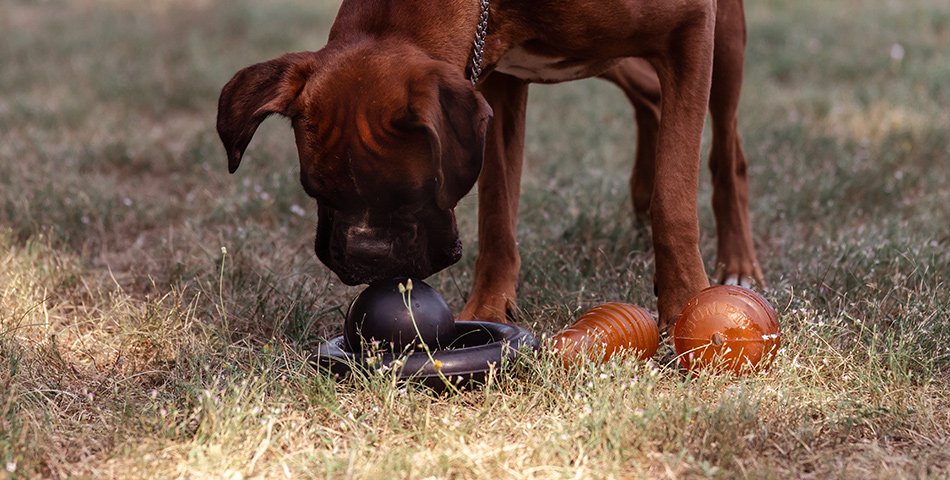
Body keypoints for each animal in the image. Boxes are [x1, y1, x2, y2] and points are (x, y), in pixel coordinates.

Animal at [218, 0, 768, 332]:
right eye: (315, 191)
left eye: (411, 194)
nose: (366, 254)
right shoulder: (495, 90)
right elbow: (498, 212)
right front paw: (488, 306)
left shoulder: (690, 28)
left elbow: (674, 195)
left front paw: (686, 302)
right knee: (651, 98)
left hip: (722, 45)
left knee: (727, 151)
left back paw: (738, 265)